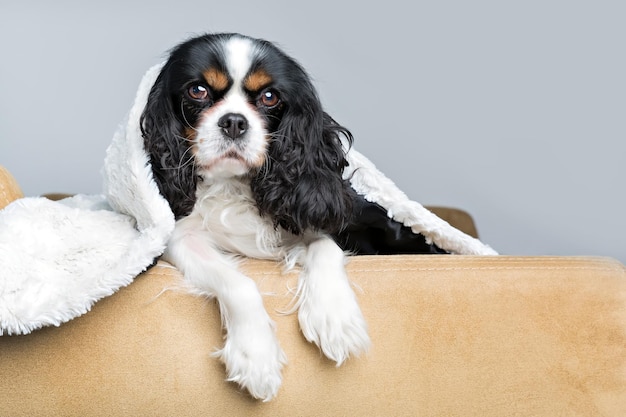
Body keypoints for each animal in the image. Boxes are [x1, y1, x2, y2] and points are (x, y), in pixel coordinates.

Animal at [139, 33, 368, 400]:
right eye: (197, 91)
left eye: (269, 97)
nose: (234, 121)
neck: (232, 185)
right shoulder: (182, 238)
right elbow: (239, 283)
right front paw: (256, 356)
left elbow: (325, 247)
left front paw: (335, 319)